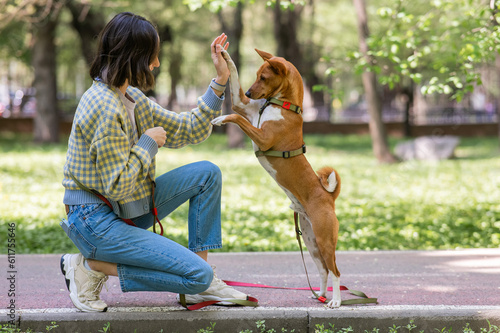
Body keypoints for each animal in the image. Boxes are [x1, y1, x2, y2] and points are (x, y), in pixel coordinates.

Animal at [211, 50, 344, 308]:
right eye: (255, 75)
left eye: (263, 77)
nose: (250, 93)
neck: (284, 106)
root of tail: (329, 196)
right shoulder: (242, 105)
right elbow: (233, 77)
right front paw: (224, 54)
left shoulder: (263, 138)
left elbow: (235, 117)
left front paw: (220, 120)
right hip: (311, 241)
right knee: (323, 269)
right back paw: (321, 295)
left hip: (324, 239)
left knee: (335, 271)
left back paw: (335, 301)